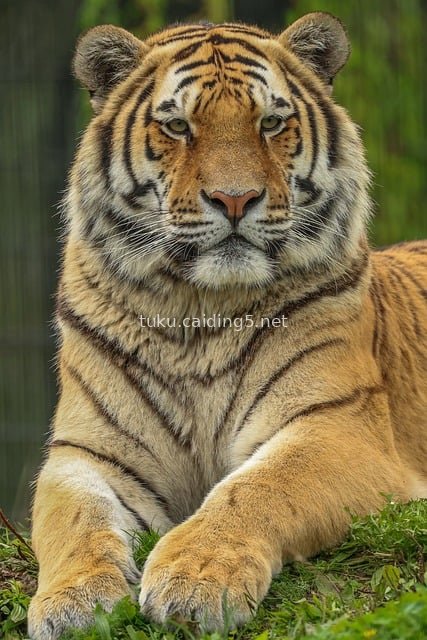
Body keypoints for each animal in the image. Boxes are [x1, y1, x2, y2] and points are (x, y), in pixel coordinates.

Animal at [27, 12, 427, 639]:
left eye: (271, 123)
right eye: (177, 126)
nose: (234, 199)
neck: (198, 311)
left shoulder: (337, 424)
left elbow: (258, 488)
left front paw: (194, 581)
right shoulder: (88, 452)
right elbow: (74, 521)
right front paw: (74, 601)